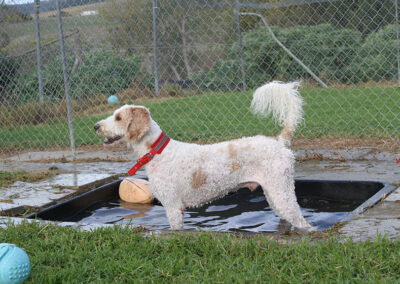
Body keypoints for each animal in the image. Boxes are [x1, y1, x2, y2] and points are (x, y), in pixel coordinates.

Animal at [95, 81, 310, 230]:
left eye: (118, 117)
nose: (96, 126)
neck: (158, 152)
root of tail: (279, 140)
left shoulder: (173, 207)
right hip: (274, 195)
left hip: (282, 194)